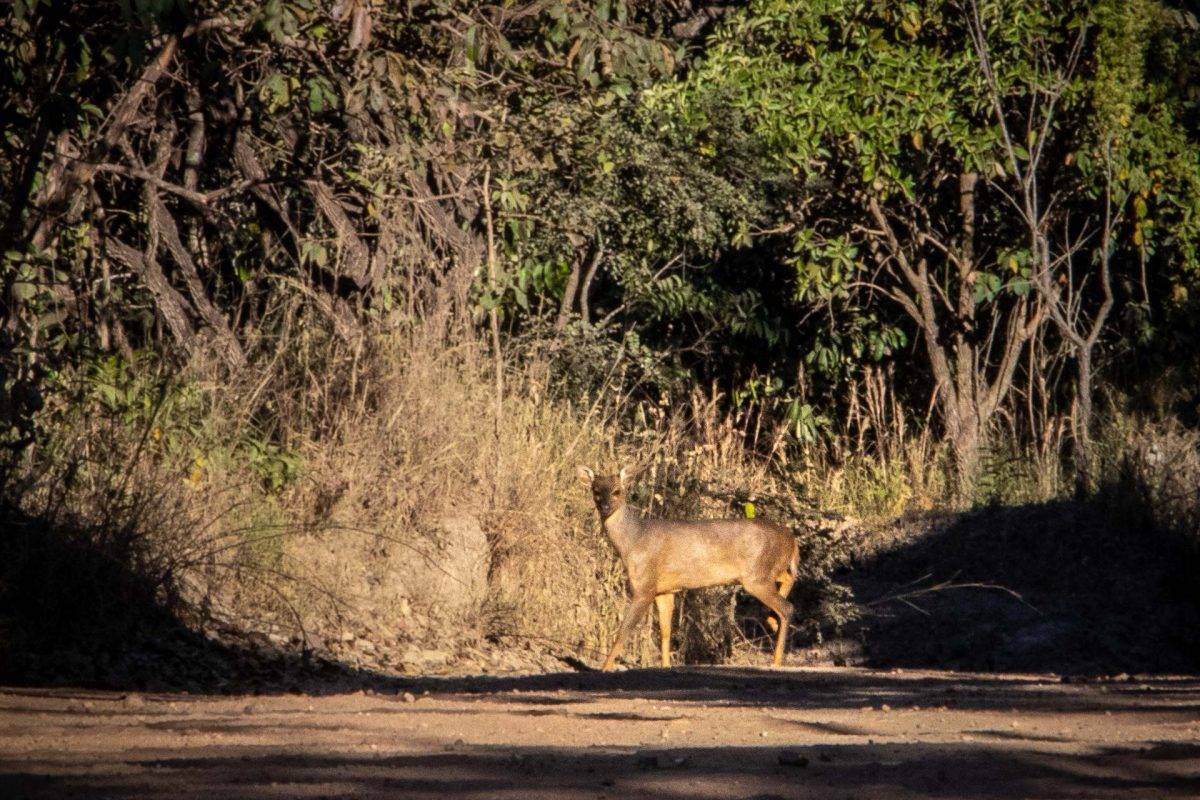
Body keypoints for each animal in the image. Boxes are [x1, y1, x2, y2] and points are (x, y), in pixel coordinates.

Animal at [578, 465, 799, 670]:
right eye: (596, 490)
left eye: (617, 491)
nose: (605, 507)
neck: (633, 541)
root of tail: (791, 538)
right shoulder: (664, 590)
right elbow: (665, 632)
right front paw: (665, 666)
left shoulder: (644, 586)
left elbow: (624, 630)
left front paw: (605, 668)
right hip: (766, 571)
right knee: (788, 579)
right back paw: (771, 621)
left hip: (756, 576)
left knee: (787, 607)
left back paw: (776, 660)